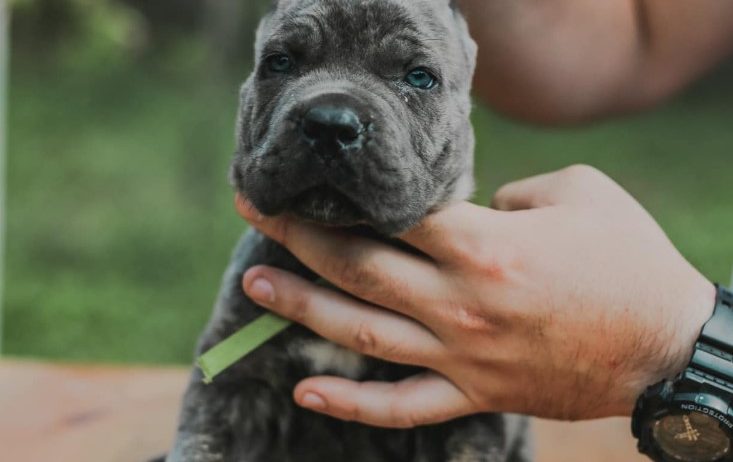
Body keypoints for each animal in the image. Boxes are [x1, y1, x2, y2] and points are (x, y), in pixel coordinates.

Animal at [167, 0, 532, 462]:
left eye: (419, 77)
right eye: (279, 62)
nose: (329, 124)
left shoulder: (464, 412)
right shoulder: (232, 384)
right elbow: (201, 444)